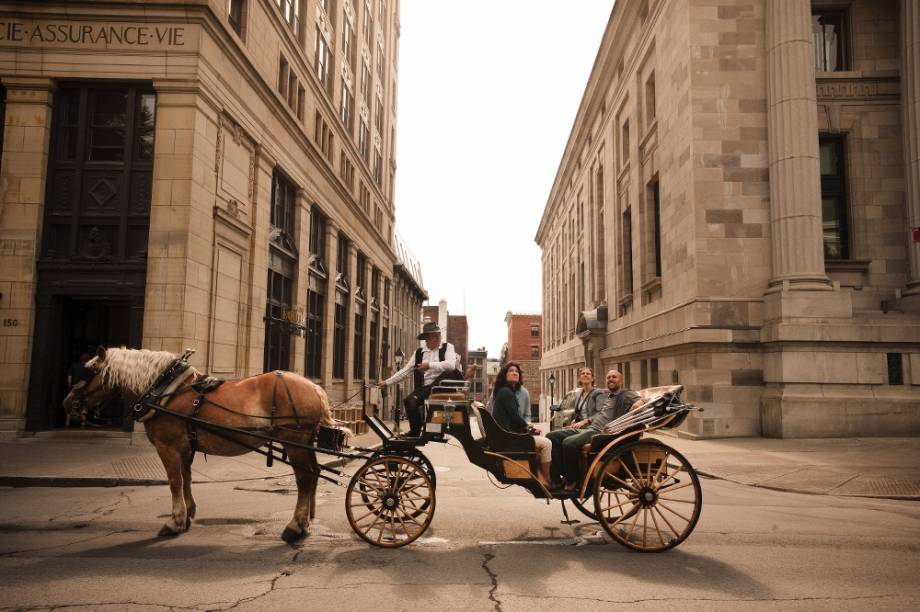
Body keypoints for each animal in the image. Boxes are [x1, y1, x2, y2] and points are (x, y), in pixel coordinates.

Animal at [63, 346, 342, 544]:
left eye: (89, 372)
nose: (67, 403)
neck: (165, 390)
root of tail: (315, 387)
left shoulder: (167, 445)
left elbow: (174, 481)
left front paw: (174, 521)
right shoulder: (185, 446)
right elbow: (186, 478)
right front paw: (187, 515)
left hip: (294, 441)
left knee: (304, 479)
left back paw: (294, 527)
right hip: (303, 442)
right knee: (314, 474)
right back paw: (306, 522)